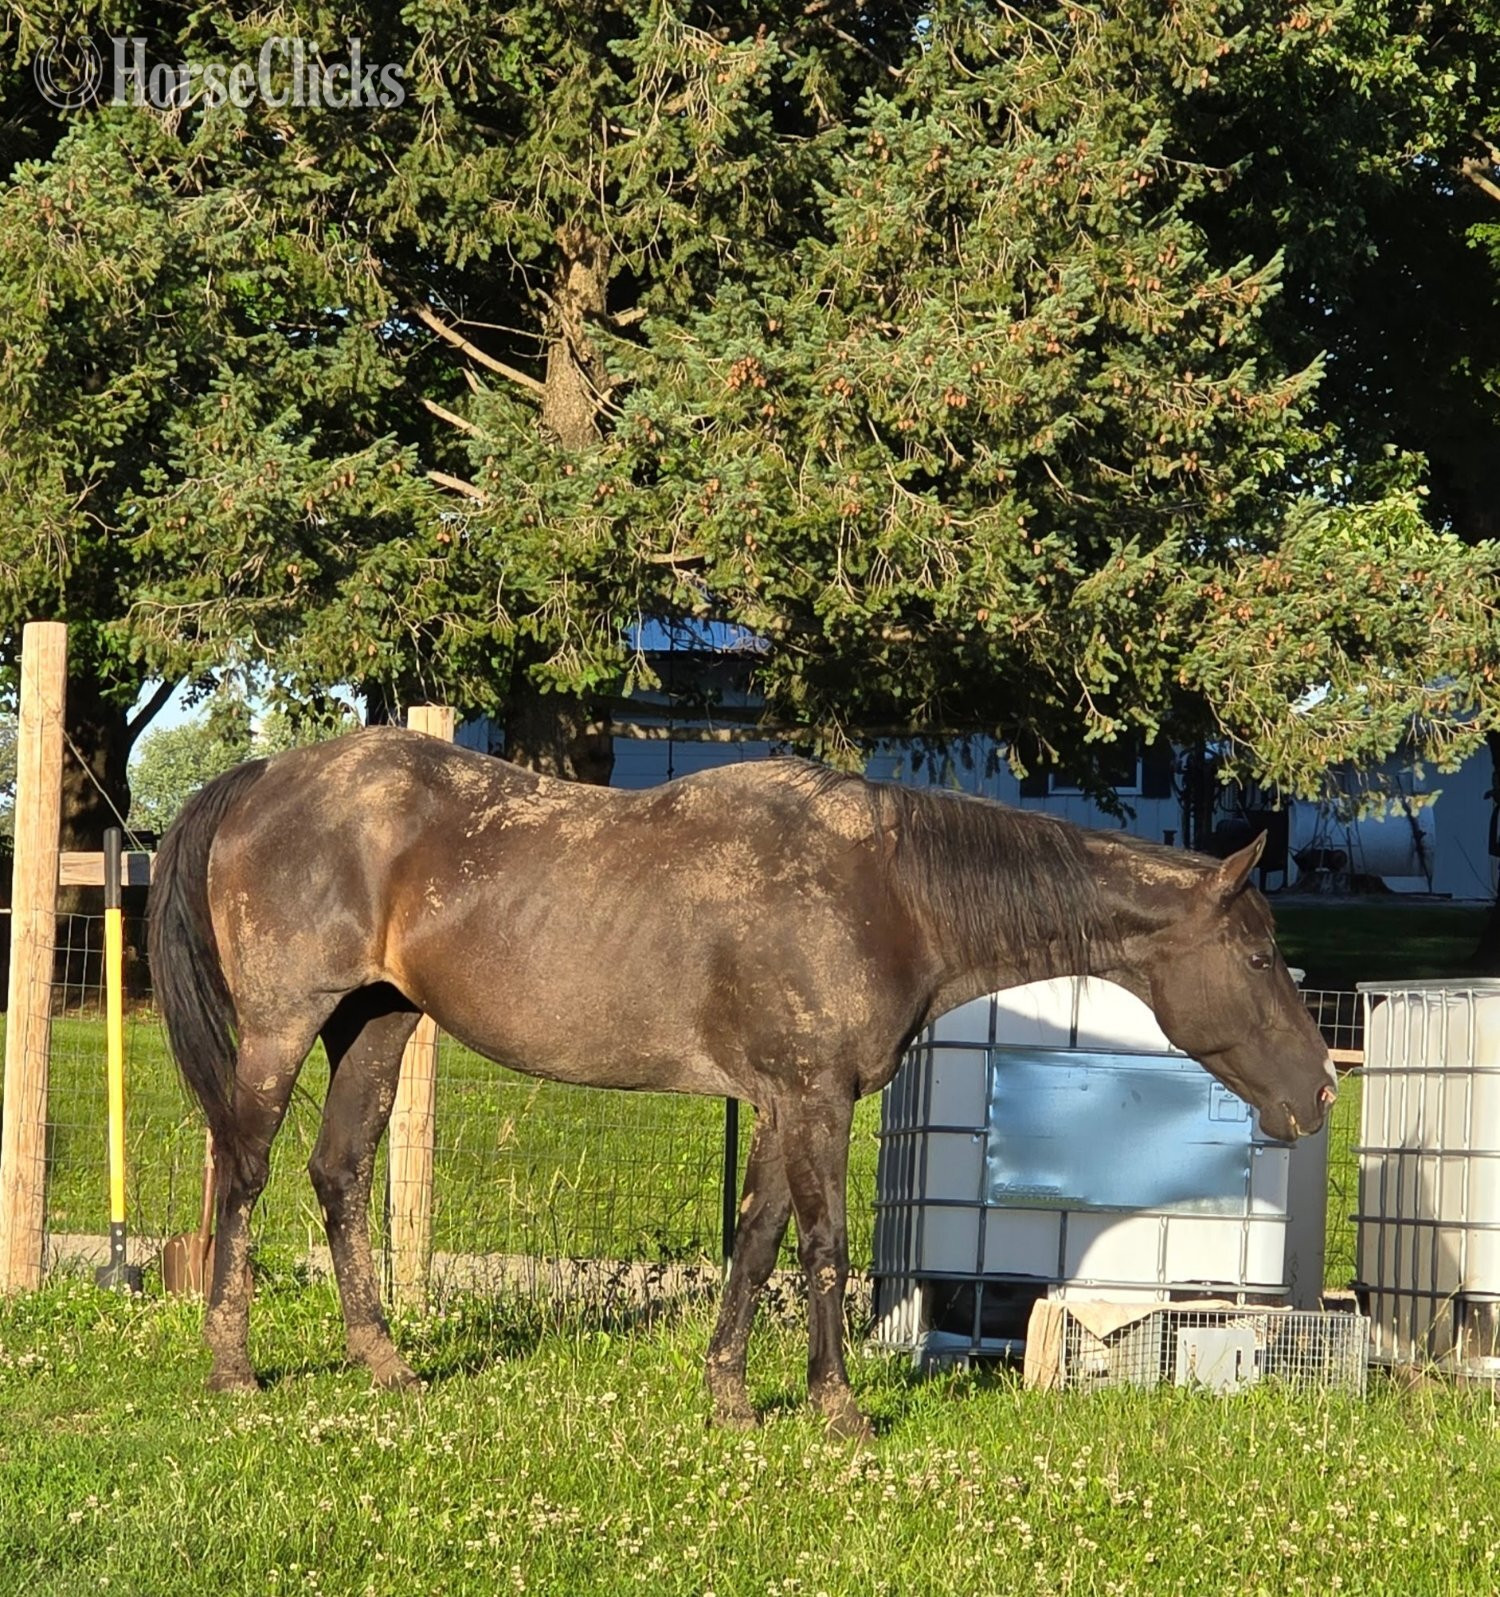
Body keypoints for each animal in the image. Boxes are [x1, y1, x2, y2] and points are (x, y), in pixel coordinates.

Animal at [148, 728, 1337, 1439]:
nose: (1321, 1091)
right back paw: (232, 1366)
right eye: (1258, 954)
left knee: (339, 1172)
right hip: (285, 1028)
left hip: (378, 1023)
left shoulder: (777, 1097)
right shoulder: (816, 1096)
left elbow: (757, 1237)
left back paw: (385, 1363)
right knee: (244, 1172)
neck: (889, 889)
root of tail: (262, 777)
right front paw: (839, 1409)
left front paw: (727, 1394)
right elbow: (821, 1246)